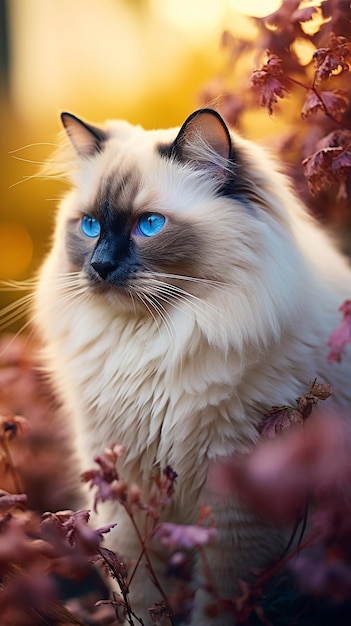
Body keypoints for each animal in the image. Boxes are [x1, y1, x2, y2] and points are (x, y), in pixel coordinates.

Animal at [32, 107, 351, 620]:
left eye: (149, 225)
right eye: (90, 227)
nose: (99, 266)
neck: (153, 344)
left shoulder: (235, 510)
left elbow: (218, 602)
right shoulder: (121, 492)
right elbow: (138, 593)